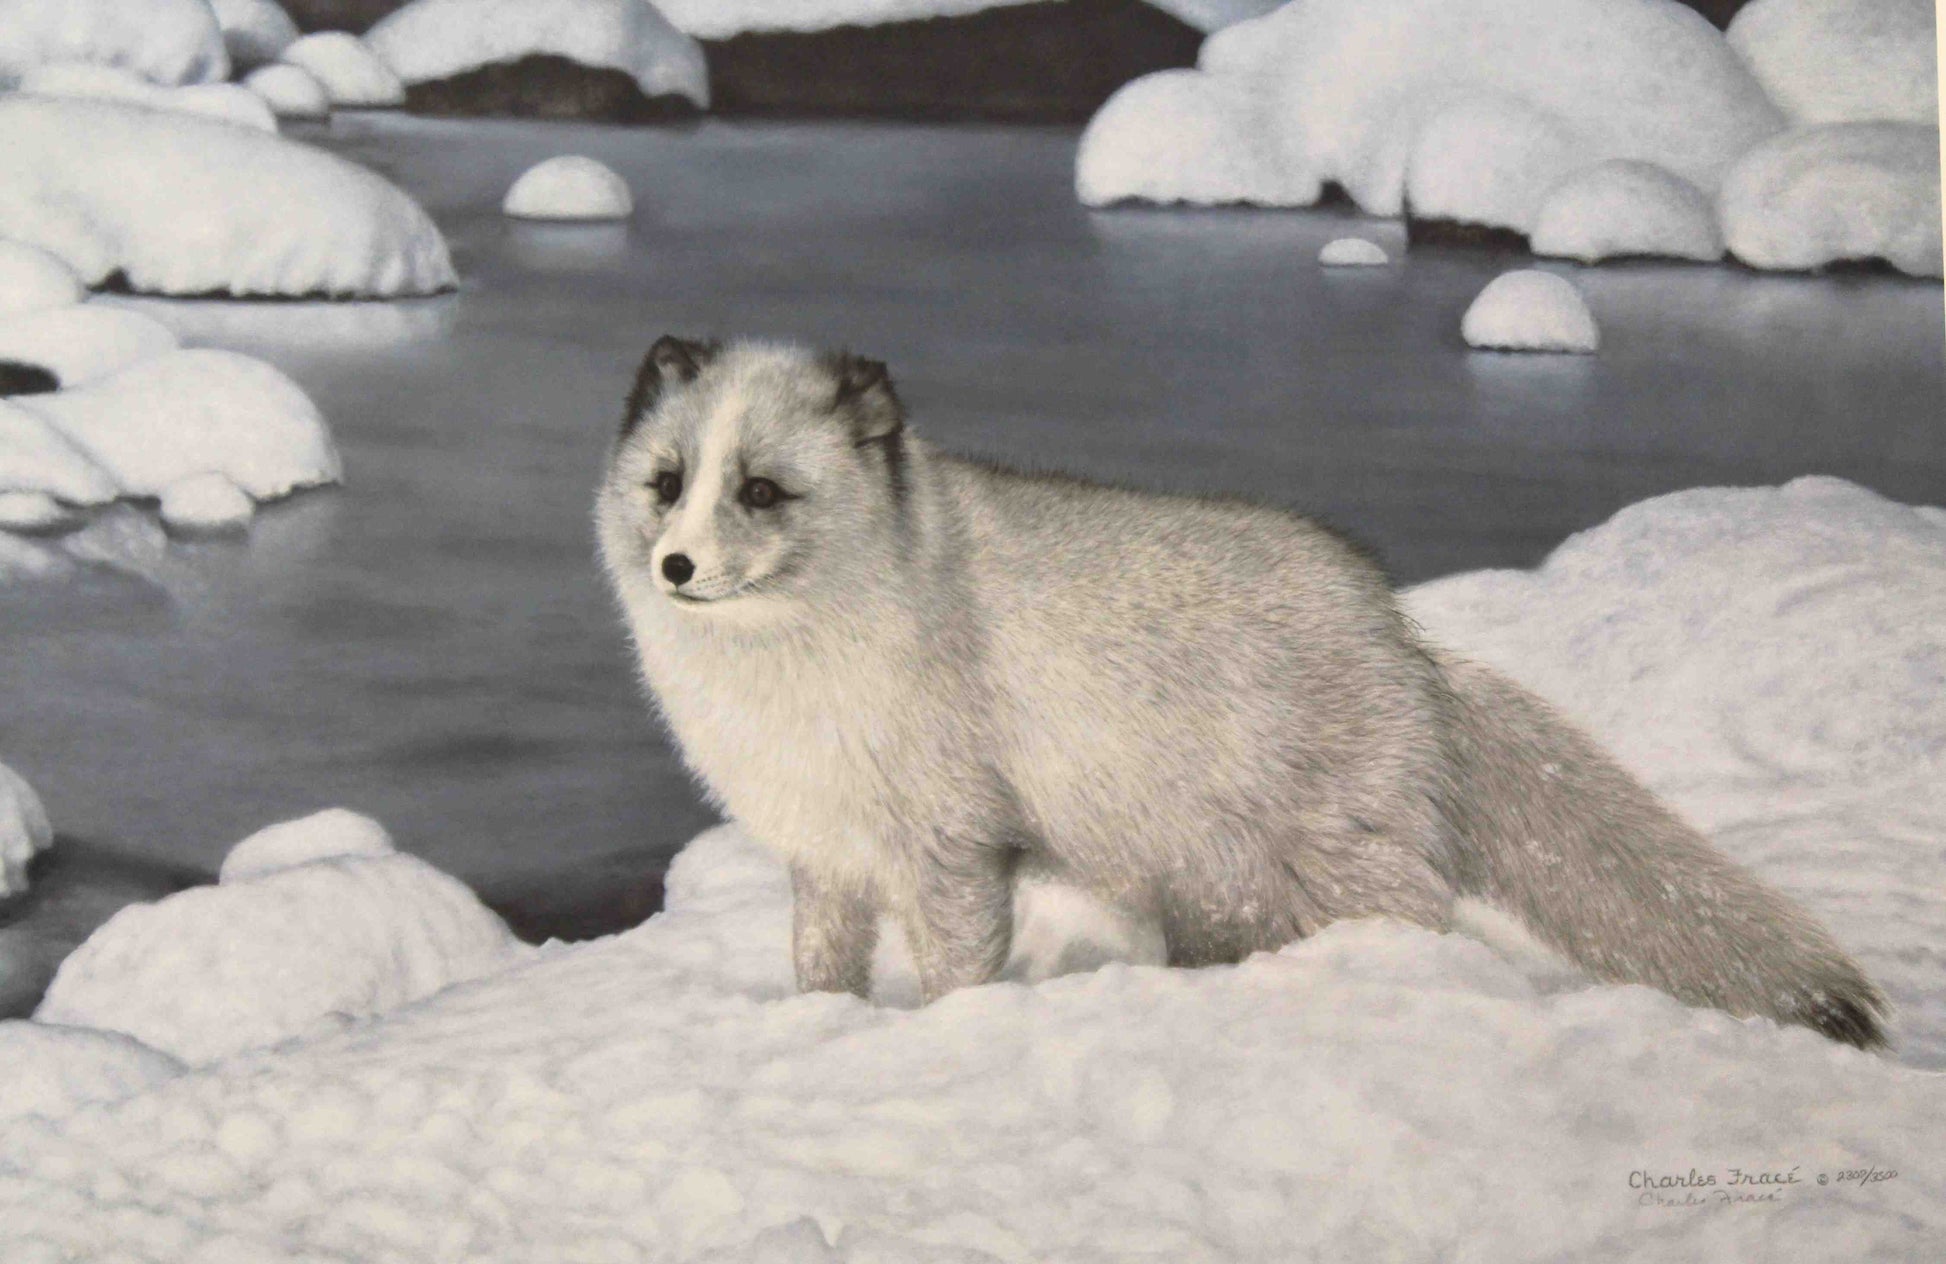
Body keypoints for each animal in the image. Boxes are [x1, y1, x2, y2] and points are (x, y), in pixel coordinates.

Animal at [596, 335, 1888, 1049]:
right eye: (667, 483)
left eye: (762, 491)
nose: (676, 568)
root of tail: (1403, 638)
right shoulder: (827, 850)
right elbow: (820, 964)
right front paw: (814, 1025)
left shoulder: (952, 844)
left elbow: (959, 968)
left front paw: (943, 1037)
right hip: (1214, 885)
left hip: (1331, 868)